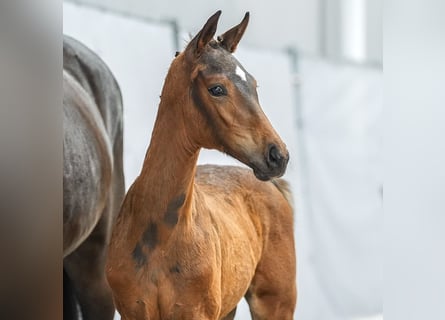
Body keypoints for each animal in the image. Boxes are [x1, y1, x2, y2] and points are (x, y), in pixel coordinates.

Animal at [106, 11, 296, 318]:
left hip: (275, 302)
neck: (160, 238)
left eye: (254, 85)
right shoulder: (132, 311)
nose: (278, 155)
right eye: (216, 89)